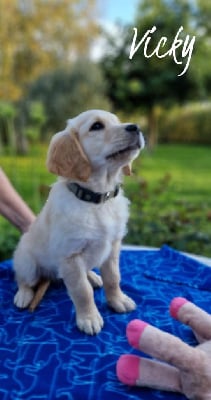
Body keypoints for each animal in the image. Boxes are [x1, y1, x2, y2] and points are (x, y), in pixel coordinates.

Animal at [13, 108, 145, 334]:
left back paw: (93, 276)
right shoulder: (71, 256)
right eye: (97, 126)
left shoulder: (113, 247)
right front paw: (89, 318)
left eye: (117, 121)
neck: (98, 199)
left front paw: (117, 300)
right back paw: (23, 295)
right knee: (23, 279)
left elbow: (113, 278)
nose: (135, 127)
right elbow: (82, 291)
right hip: (27, 262)